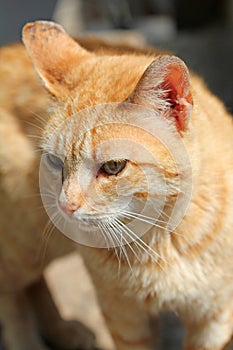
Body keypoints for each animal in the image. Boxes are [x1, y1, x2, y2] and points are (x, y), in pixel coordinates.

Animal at [1, 19, 233, 350]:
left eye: (113, 167)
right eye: (56, 161)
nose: (66, 205)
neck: (161, 239)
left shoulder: (214, 317)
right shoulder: (125, 319)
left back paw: (63, 331)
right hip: (24, 239)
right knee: (11, 288)